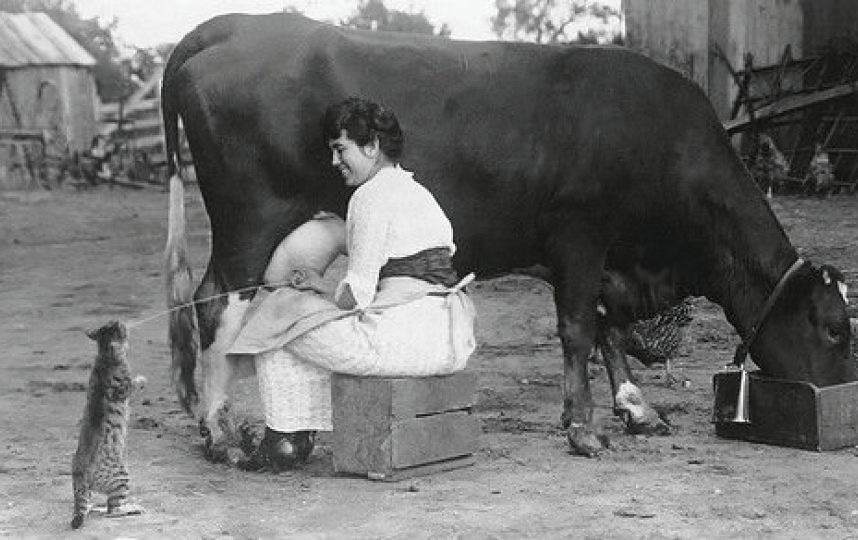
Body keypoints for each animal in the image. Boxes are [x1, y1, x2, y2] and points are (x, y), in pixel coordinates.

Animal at [71, 320, 143, 528]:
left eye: (112, 324)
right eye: (119, 329)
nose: (122, 321)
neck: (104, 357)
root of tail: (80, 475)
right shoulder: (125, 386)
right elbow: (133, 383)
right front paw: (141, 380)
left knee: (92, 505)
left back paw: (93, 507)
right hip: (122, 475)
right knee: (113, 510)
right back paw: (132, 508)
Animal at [159, 12, 848, 460]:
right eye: (834, 328)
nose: (840, 402)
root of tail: (241, 25)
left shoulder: (606, 257)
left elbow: (608, 328)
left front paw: (636, 409)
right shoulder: (580, 233)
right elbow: (579, 328)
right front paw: (583, 430)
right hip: (250, 219)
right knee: (216, 303)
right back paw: (220, 433)